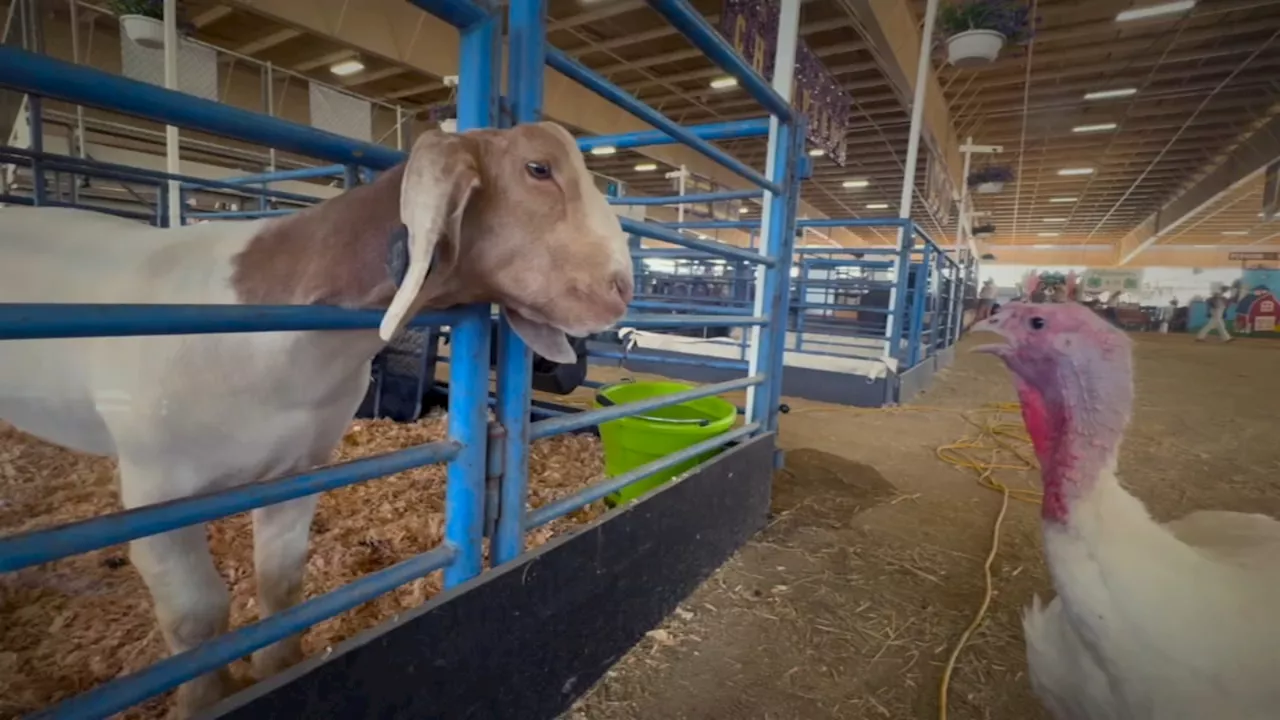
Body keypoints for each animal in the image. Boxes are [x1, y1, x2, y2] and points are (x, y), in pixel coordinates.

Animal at [0, 121, 634, 712]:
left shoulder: (299, 468)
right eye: (538, 168)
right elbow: (197, 615)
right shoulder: (156, 487)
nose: (622, 287)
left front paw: (274, 672)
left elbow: (282, 583)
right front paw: (205, 701)